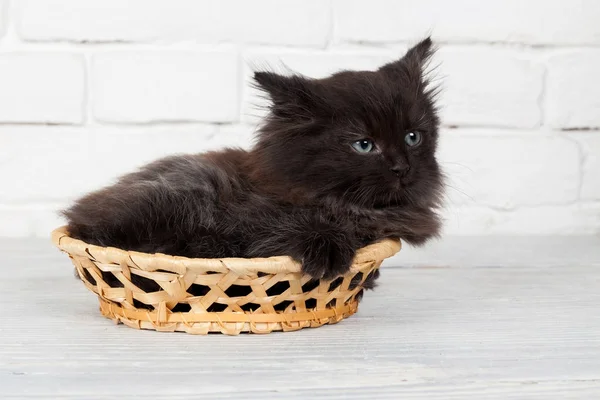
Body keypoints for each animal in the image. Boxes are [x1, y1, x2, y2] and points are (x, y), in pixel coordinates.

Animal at [63, 37, 442, 282]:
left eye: (413, 137)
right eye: (363, 145)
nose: (402, 167)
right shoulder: (248, 219)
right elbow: (291, 227)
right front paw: (328, 252)